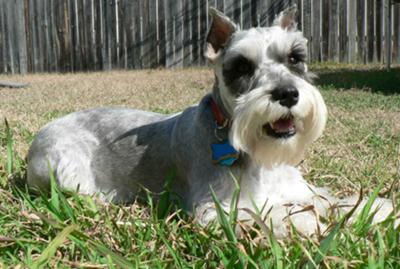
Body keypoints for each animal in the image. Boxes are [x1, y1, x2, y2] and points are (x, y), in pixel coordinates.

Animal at [26, 5, 396, 237]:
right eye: (241, 66)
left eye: (295, 58)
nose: (288, 93)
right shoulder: (214, 208)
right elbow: (266, 212)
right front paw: (304, 222)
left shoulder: (300, 188)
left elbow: (329, 200)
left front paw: (373, 210)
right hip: (67, 168)